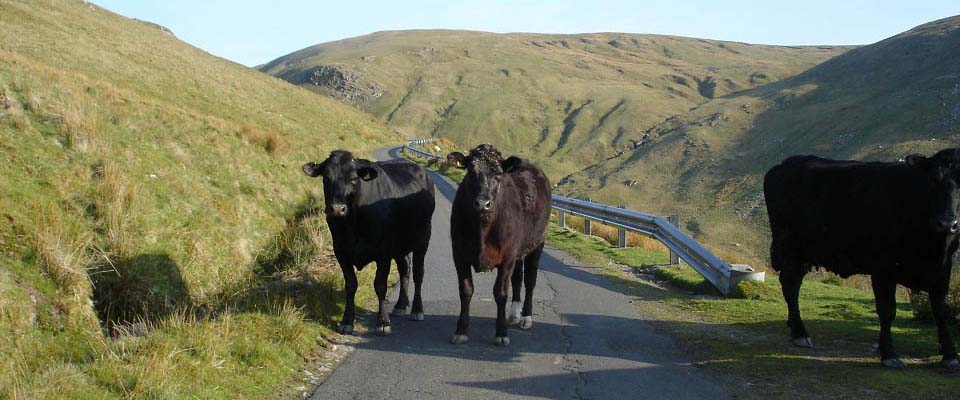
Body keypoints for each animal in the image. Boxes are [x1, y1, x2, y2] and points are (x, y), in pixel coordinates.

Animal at [302, 150, 436, 334]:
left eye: (353, 178)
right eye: (326, 178)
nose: (337, 209)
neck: (353, 222)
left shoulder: (384, 252)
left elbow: (380, 285)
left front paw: (383, 322)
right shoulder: (341, 251)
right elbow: (351, 285)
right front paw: (347, 321)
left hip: (423, 238)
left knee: (418, 273)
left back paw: (417, 310)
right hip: (400, 246)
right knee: (404, 270)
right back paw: (401, 305)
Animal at [446, 145, 552, 346]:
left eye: (498, 174)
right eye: (471, 171)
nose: (483, 203)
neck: (483, 228)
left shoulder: (507, 257)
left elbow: (501, 293)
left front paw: (501, 333)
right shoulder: (459, 254)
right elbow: (466, 290)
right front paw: (461, 330)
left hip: (537, 243)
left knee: (530, 280)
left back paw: (526, 317)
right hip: (518, 251)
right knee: (517, 278)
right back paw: (515, 314)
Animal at [764, 150, 960, 368]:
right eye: (933, 180)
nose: (947, 223)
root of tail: (784, 164)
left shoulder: (944, 266)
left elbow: (941, 310)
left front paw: (950, 354)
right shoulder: (883, 267)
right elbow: (887, 311)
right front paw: (889, 354)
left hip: (804, 254)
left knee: (792, 284)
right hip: (791, 249)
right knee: (790, 286)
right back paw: (800, 333)